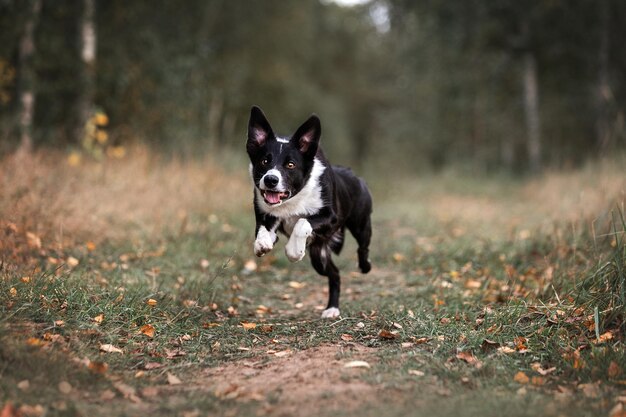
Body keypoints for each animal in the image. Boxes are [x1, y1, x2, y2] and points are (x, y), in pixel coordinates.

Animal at [244, 105, 370, 316]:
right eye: (264, 161)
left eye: (290, 164)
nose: (270, 180)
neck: (294, 198)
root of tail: (353, 175)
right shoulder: (265, 213)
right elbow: (262, 228)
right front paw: (262, 244)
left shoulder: (330, 216)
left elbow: (303, 222)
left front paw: (294, 251)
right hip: (319, 256)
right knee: (334, 273)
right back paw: (332, 308)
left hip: (361, 225)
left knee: (363, 247)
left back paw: (364, 267)